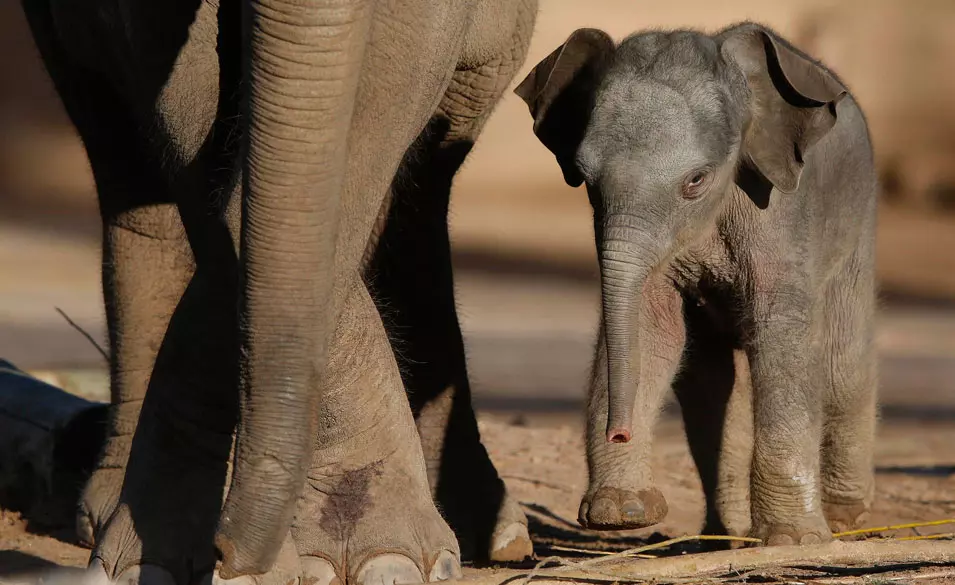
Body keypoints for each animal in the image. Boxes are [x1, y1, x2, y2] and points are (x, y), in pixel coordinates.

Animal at [24, 0, 536, 580]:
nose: (226, 554)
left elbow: (389, 86)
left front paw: (385, 561)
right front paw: (152, 564)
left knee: (429, 170)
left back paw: (491, 535)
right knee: (123, 166)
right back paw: (106, 511)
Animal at [520, 21, 876, 544]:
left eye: (696, 181)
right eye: (585, 179)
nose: (619, 431)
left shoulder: (783, 213)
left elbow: (781, 333)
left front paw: (794, 539)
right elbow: (652, 326)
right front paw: (622, 513)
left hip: (857, 223)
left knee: (842, 362)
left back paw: (845, 519)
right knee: (710, 388)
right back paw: (725, 535)